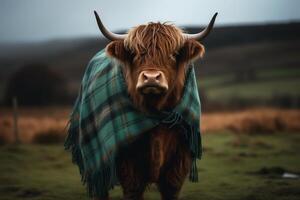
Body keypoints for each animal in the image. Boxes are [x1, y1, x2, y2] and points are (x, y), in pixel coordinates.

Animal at [65, 10, 216, 200]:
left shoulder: (179, 163)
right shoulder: (128, 166)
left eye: (173, 54)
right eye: (135, 54)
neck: (156, 115)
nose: (151, 78)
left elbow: (171, 188)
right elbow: (133, 190)